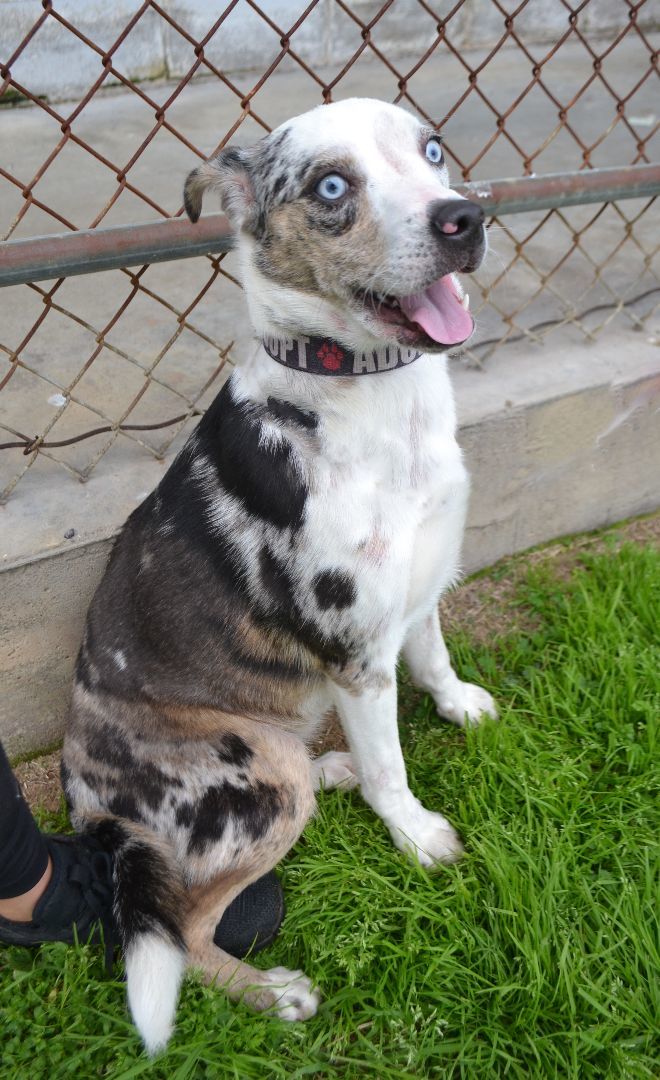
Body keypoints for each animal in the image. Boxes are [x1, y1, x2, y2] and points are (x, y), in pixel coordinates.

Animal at [60, 99, 496, 1054]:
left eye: (433, 151)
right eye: (332, 187)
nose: (465, 218)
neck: (373, 397)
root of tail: (88, 804)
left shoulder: (417, 582)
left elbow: (436, 657)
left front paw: (460, 705)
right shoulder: (355, 653)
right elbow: (391, 768)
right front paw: (417, 836)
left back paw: (332, 769)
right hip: (255, 777)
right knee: (184, 932)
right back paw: (274, 995)